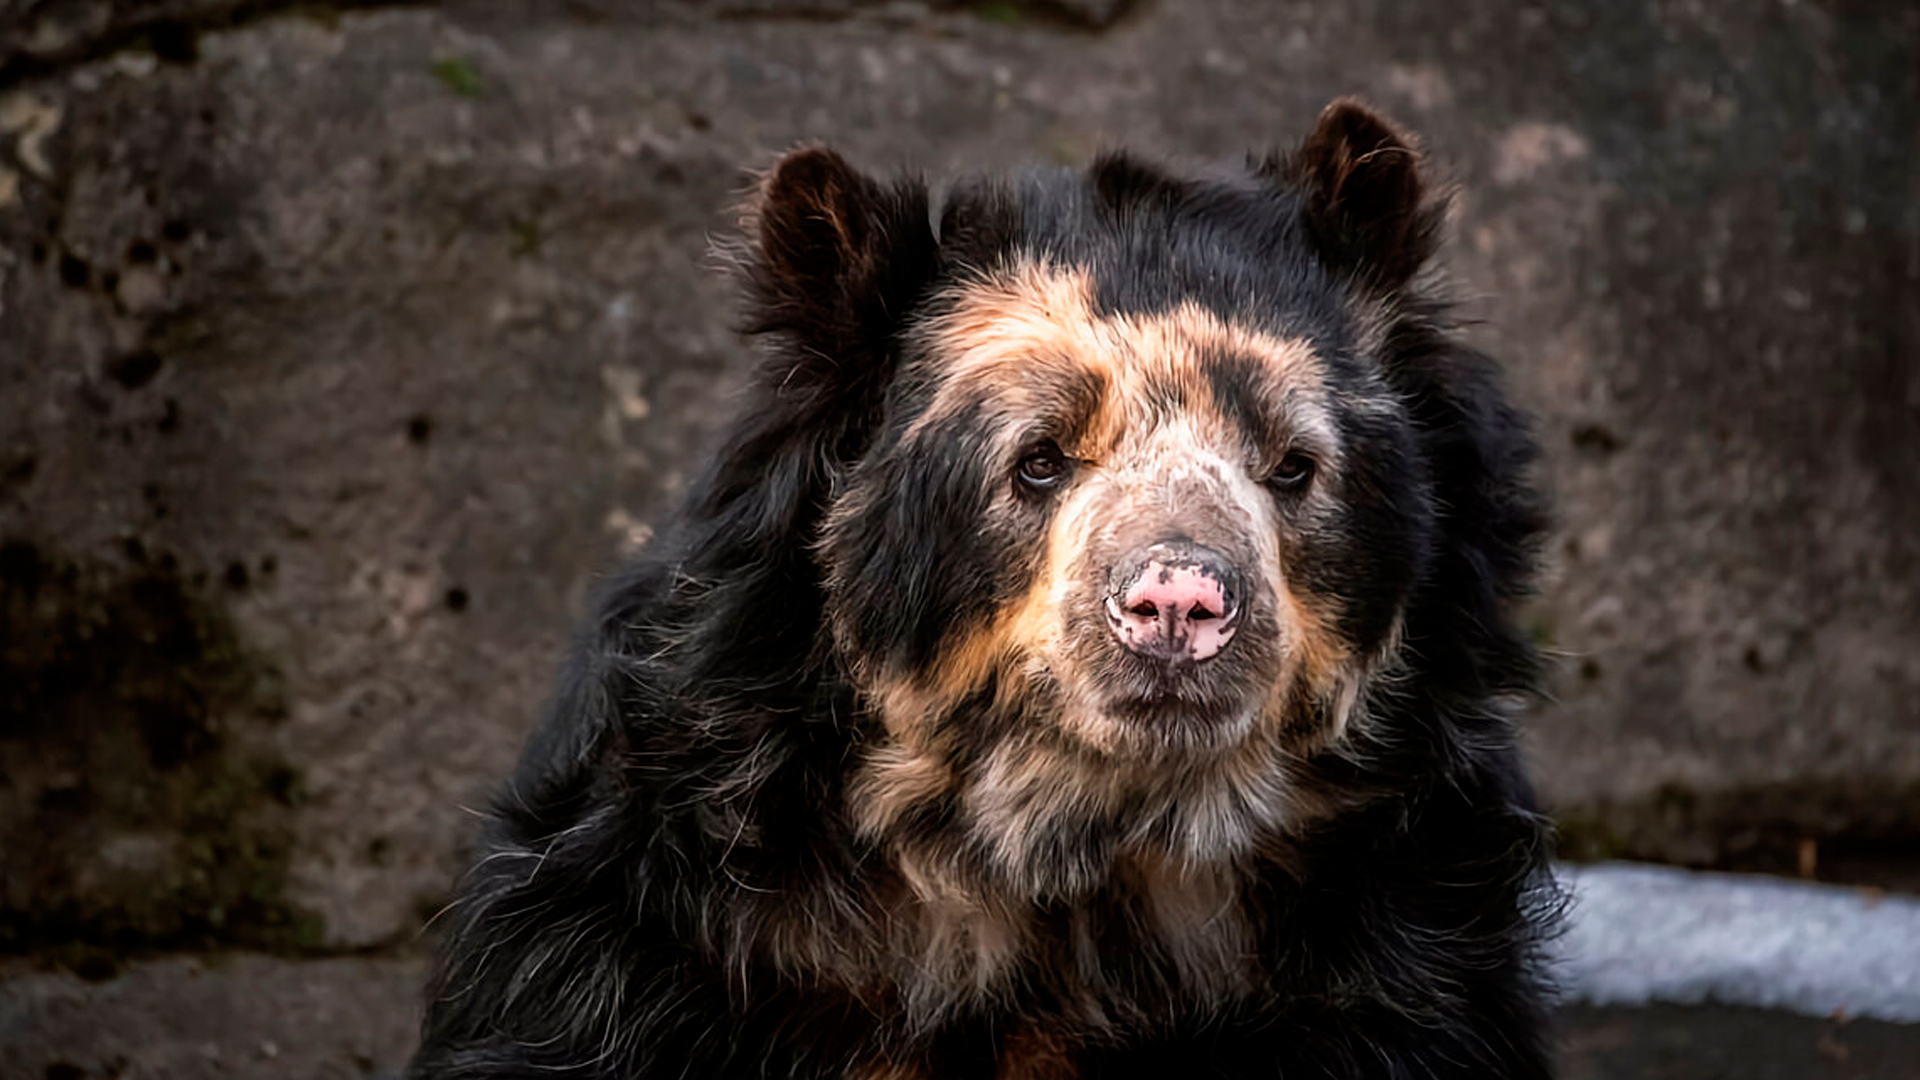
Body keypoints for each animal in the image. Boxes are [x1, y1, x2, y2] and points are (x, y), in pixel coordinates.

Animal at [405, 96, 1559, 1068]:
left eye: (1292, 467)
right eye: (1038, 460)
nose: (1178, 605)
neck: (1071, 860)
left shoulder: (1408, 956)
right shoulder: (627, 943)